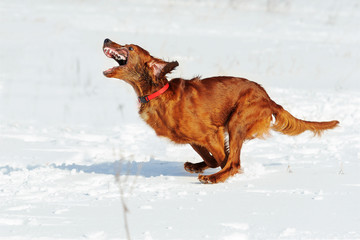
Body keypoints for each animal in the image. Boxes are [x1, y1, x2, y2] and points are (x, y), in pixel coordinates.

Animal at [102, 38, 338, 183]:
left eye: (130, 48)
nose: (106, 39)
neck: (157, 94)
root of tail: (268, 98)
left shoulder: (211, 133)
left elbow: (223, 159)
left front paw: (212, 171)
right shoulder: (194, 140)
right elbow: (212, 159)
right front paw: (197, 166)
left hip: (237, 122)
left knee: (234, 162)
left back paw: (213, 178)